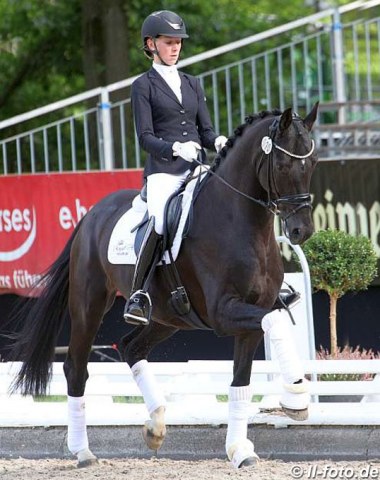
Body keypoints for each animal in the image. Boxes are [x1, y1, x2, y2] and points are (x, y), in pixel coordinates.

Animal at [8, 104, 318, 468]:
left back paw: (155, 425)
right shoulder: (224, 313)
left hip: (167, 317)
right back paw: (83, 451)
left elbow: (241, 381)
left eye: (313, 162)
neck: (241, 223)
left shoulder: (254, 315)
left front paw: (240, 450)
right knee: (76, 368)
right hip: (89, 304)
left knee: (131, 347)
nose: (301, 231)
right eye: (282, 165)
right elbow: (277, 323)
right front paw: (296, 396)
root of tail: (92, 215)